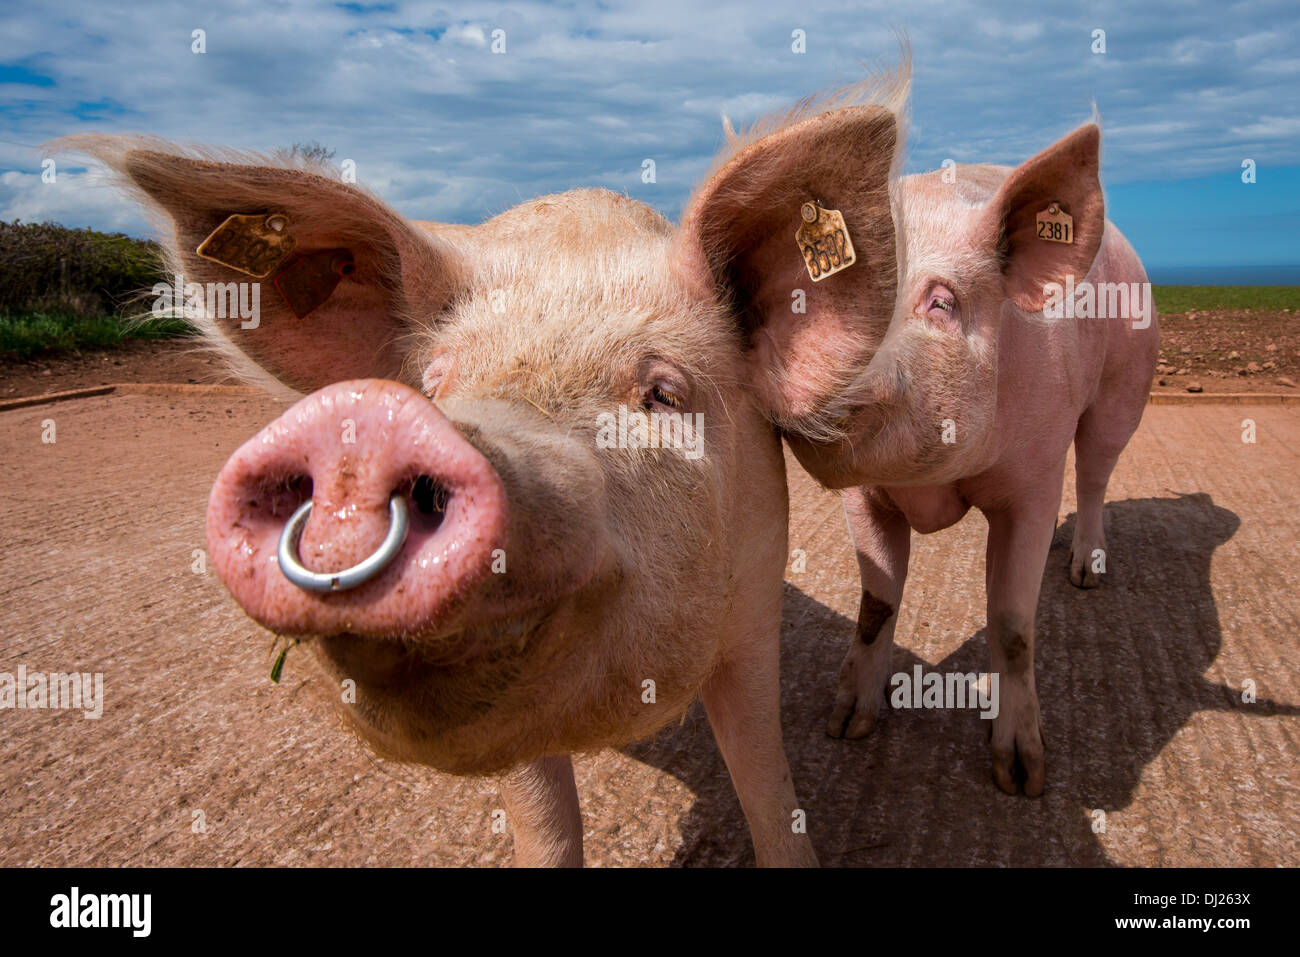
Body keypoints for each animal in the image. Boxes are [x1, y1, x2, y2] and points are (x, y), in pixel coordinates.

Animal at [58, 67, 915, 868]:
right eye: (435, 383)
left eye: (663, 392)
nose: (371, 423)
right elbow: (546, 824)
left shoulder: (757, 593)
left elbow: (765, 779)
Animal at [800, 121, 1159, 790]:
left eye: (942, 301)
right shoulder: (864, 495)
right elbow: (875, 603)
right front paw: (844, 727)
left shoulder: (1034, 479)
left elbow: (1013, 623)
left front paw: (1021, 776)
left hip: (1126, 384)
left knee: (1096, 472)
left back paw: (1084, 574)